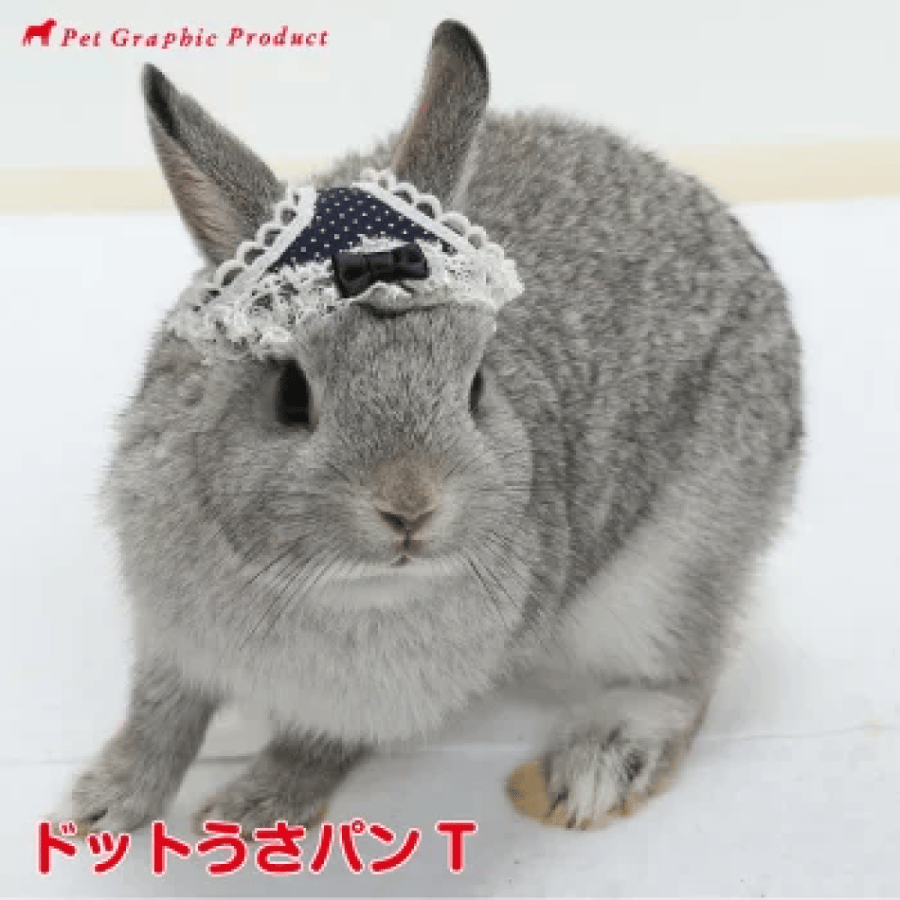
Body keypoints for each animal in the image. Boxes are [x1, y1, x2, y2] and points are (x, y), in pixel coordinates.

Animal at [59, 20, 802, 835]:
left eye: (475, 384)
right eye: (290, 393)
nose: (410, 507)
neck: (336, 586)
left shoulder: (363, 707)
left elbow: (316, 743)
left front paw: (253, 812)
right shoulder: (169, 638)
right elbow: (161, 715)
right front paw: (101, 806)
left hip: (672, 568)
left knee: (682, 678)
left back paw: (598, 764)